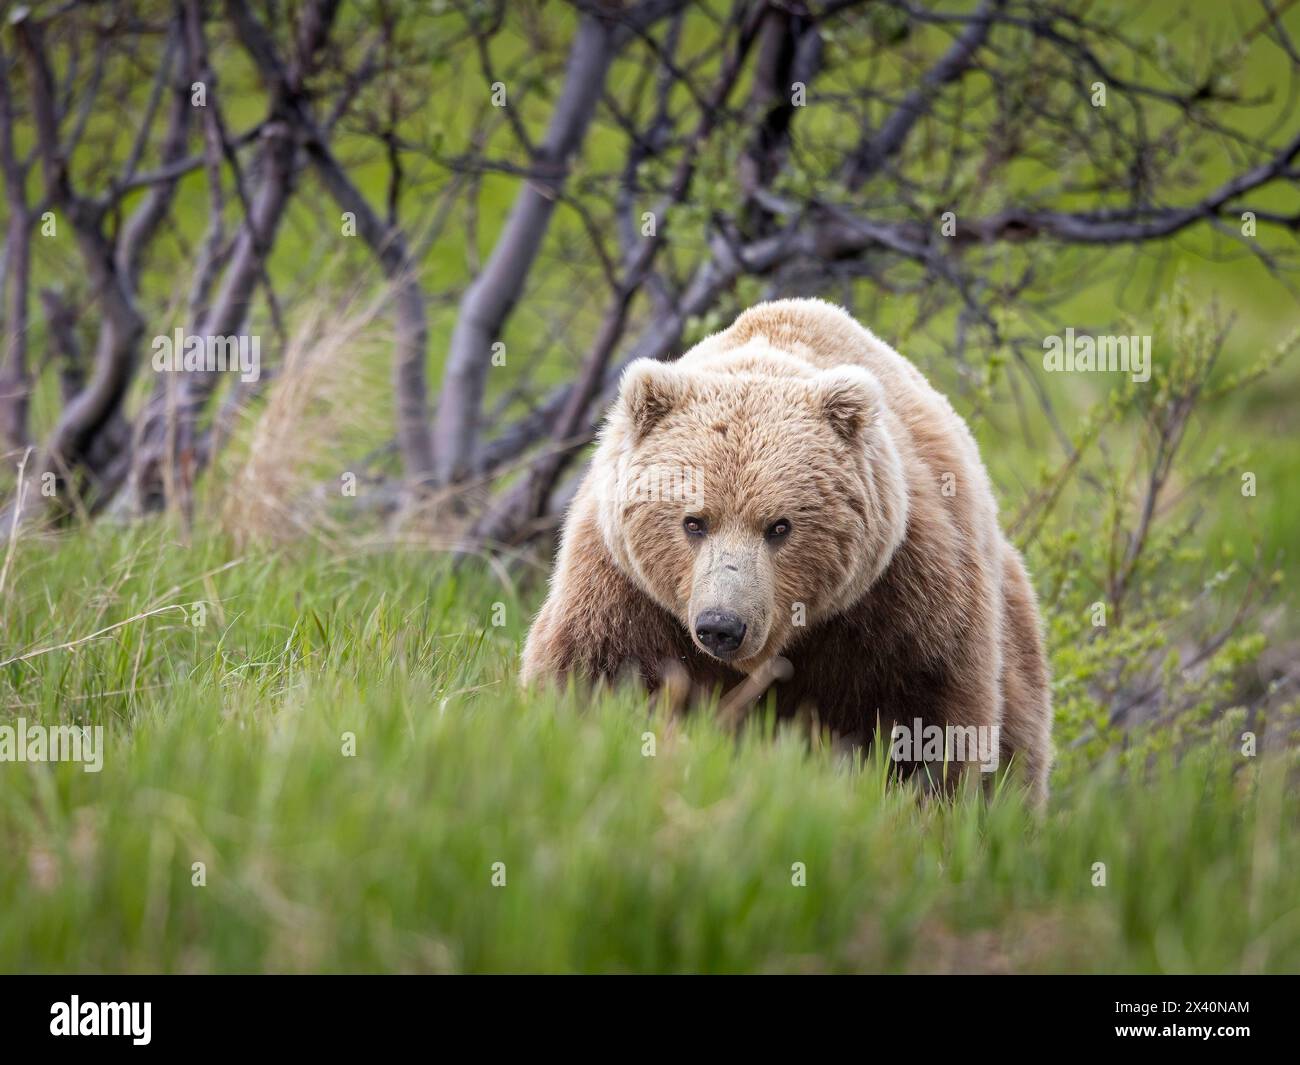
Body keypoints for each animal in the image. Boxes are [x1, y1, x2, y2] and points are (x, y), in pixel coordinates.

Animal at [522, 295, 1050, 806]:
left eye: (779, 526)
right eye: (693, 522)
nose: (722, 626)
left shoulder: (905, 601)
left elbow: (926, 730)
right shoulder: (623, 591)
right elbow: (593, 679)